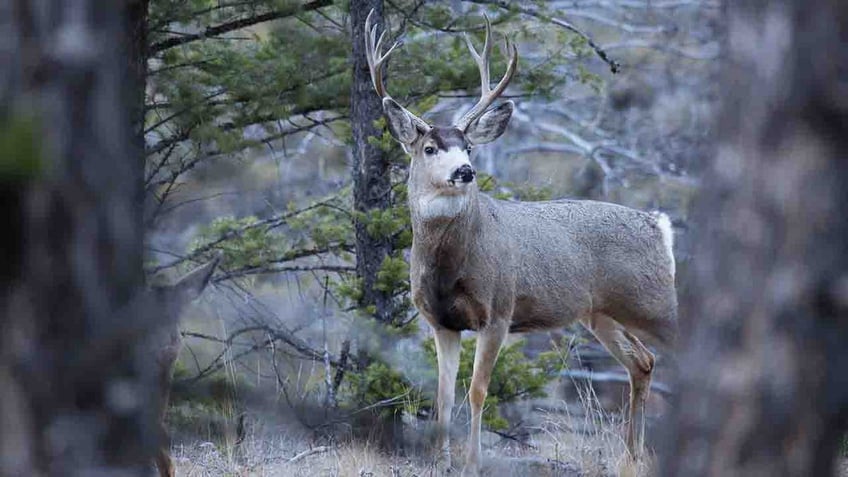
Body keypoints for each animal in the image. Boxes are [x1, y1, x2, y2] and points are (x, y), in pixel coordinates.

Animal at [362, 9, 680, 474]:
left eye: (468, 147)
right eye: (430, 147)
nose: (465, 171)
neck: (449, 266)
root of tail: (659, 226)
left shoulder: (498, 309)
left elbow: (477, 390)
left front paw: (472, 462)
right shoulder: (440, 321)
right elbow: (442, 395)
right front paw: (441, 461)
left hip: (654, 302)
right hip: (601, 313)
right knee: (642, 362)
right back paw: (631, 456)